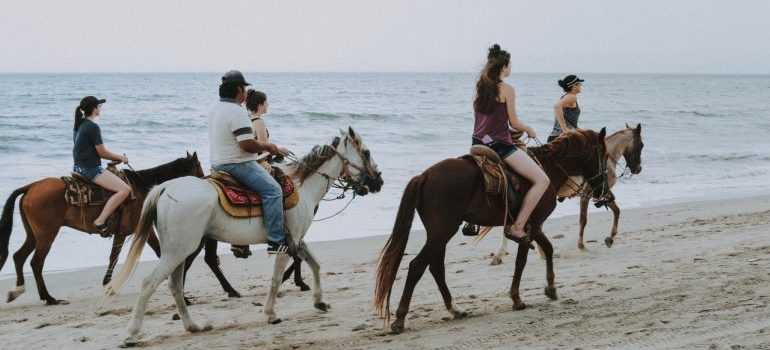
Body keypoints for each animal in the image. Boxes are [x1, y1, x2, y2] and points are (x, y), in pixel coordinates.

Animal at [0, 152, 208, 304]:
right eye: (198, 169)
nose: (205, 186)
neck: (143, 189)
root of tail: (30, 187)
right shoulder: (135, 231)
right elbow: (126, 256)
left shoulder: (133, 232)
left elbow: (121, 256)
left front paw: (108, 284)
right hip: (46, 235)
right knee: (36, 262)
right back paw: (48, 297)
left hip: (34, 235)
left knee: (19, 256)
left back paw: (18, 290)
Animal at [106, 128, 382, 344]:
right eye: (367, 153)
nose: (378, 181)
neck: (302, 186)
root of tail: (165, 188)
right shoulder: (285, 244)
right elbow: (276, 278)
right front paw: (271, 313)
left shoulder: (297, 240)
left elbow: (315, 264)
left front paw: (319, 301)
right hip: (179, 249)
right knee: (150, 283)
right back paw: (132, 334)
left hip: (180, 250)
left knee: (175, 285)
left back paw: (192, 326)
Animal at [376, 128, 608, 330]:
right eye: (604, 156)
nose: (603, 190)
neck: (548, 169)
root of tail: (424, 176)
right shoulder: (531, 225)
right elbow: (521, 261)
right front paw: (517, 298)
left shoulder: (532, 225)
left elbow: (548, 249)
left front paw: (550, 288)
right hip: (442, 232)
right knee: (417, 266)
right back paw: (400, 319)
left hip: (439, 234)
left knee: (436, 267)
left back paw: (455, 309)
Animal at [492, 124, 640, 264]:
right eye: (641, 146)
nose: (638, 168)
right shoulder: (590, 195)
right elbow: (586, 219)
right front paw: (584, 245)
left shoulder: (599, 194)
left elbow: (614, 210)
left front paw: (609, 239)